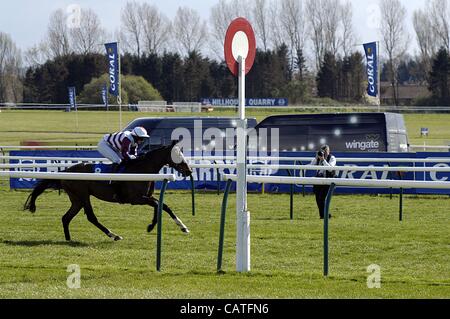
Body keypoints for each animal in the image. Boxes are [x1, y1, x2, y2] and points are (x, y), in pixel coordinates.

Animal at [23, 142, 192, 242]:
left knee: (66, 218)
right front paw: (155, 226)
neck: (142, 169)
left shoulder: (147, 197)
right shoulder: (136, 199)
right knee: (91, 217)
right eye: (177, 155)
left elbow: (162, 206)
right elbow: (160, 205)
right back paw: (113, 235)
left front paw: (180, 226)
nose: (189, 171)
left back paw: (69, 239)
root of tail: (66, 171)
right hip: (83, 195)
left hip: (76, 199)